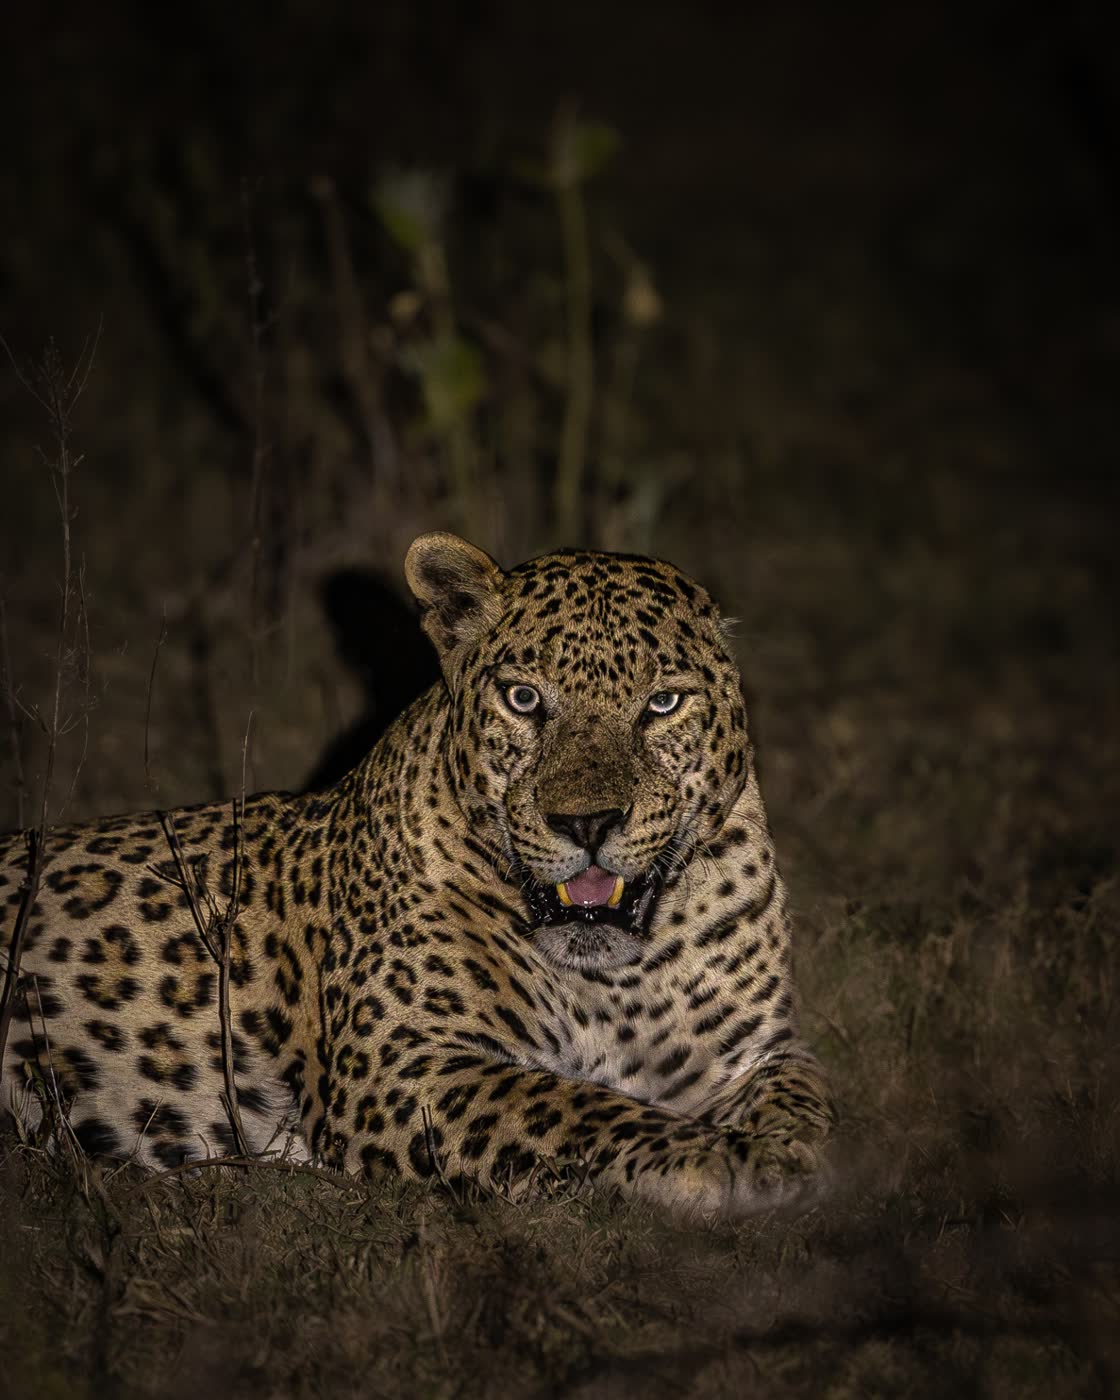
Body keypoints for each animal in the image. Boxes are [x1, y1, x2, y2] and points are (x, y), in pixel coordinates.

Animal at [0, 533, 834, 1217]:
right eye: (523, 698)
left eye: (662, 703)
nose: (587, 824)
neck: (615, 978)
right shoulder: (404, 1064)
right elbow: (572, 1105)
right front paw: (718, 1160)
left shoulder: (757, 1052)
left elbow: (809, 1100)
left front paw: (786, 1154)